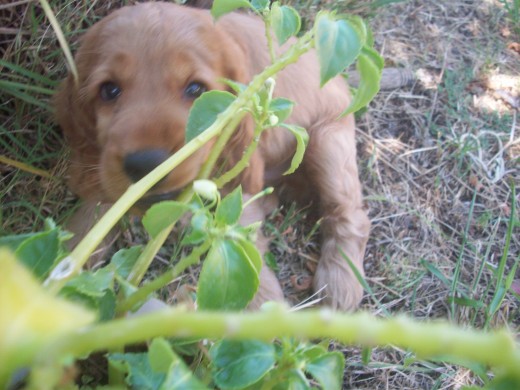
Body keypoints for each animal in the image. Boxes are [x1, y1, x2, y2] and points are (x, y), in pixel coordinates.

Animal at [55, 1, 370, 310]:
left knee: (349, 213)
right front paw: (66, 261)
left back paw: (340, 283)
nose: (147, 164)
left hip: (328, 143)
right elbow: (95, 215)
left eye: (196, 88)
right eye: (109, 90)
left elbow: (241, 245)